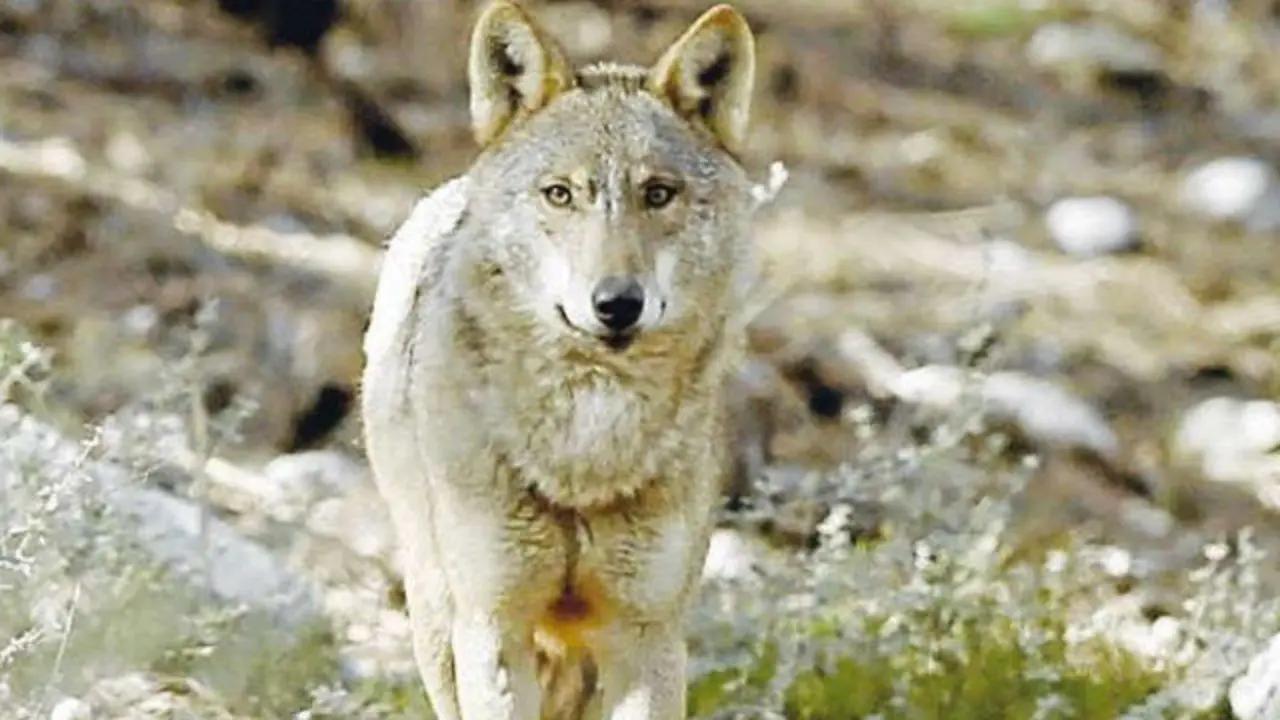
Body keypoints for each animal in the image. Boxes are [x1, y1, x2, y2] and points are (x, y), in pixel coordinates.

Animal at [359, 2, 761, 718]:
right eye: (560, 194)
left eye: (658, 194)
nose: (617, 303)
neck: (584, 453)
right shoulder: (492, 627)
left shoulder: (649, 637)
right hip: (436, 617)